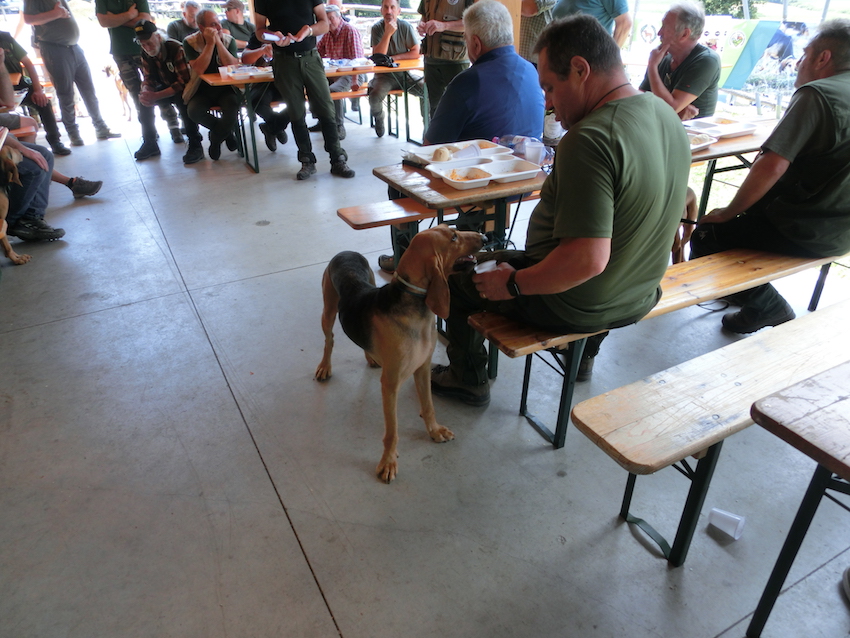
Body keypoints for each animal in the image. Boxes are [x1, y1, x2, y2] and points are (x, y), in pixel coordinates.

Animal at [315, 225, 485, 483]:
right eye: (454, 237)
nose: (485, 236)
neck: (416, 305)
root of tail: (346, 252)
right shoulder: (391, 384)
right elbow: (392, 431)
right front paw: (388, 461)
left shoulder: (423, 369)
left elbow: (428, 406)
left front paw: (435, 431)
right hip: (328, 310)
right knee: (329, 340)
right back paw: (325, 366)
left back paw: (371, 357)